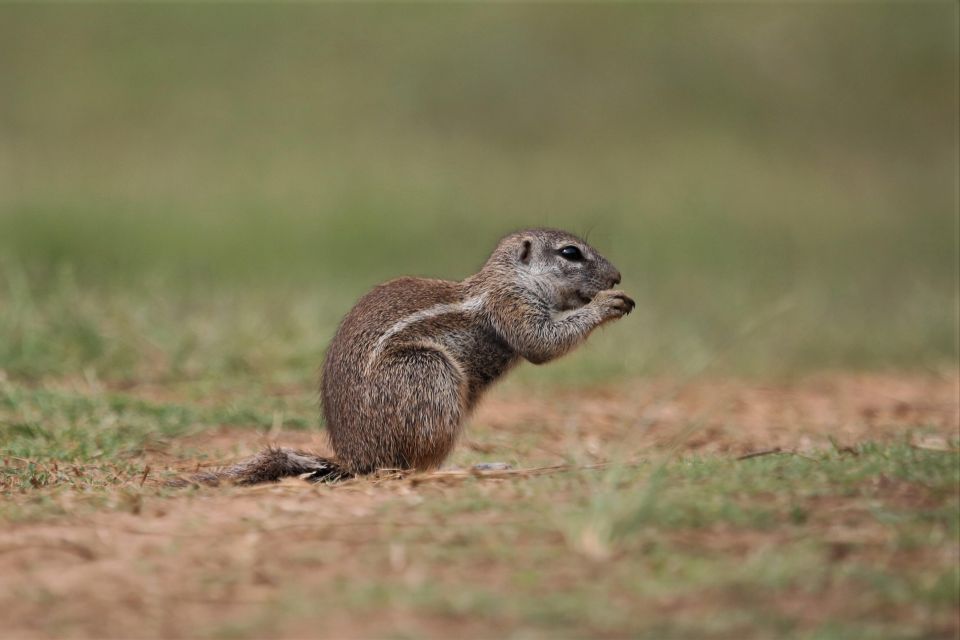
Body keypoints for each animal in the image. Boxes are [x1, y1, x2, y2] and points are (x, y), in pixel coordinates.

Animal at [193, 230, 632, 484]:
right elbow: (541, 342)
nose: (616, 277)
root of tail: (357, 460)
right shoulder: (511, 305)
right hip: (429, 374)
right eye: (570, 253)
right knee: (412, 468)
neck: (509, 278)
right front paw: (608, 304)